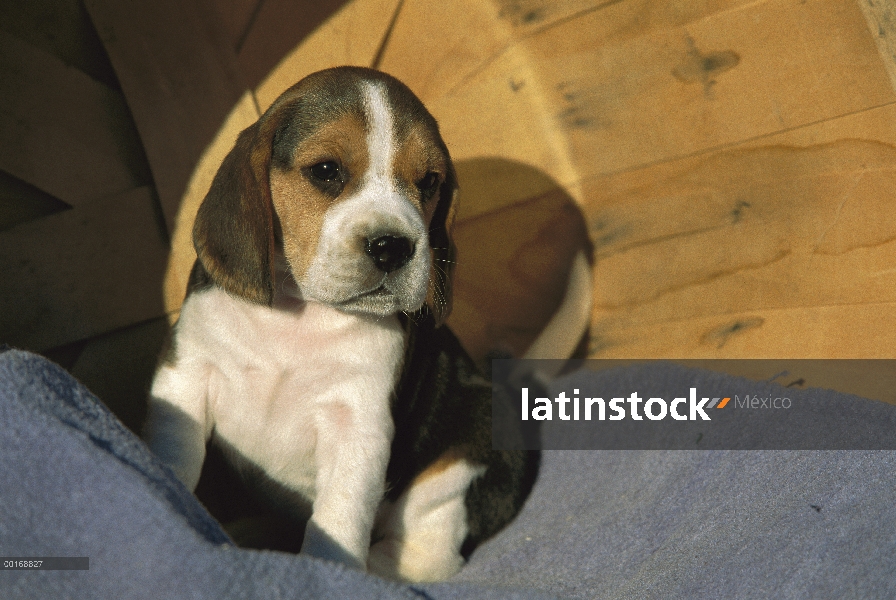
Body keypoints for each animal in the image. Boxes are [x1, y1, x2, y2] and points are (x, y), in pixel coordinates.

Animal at [146, 65, 540, 580]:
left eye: (429, 181)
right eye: (326, 171)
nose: (393, 247)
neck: (302, 316)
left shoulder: (357, 426)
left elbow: (338, 518)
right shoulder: (186, 376)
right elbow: (175, 453)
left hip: (477, 429)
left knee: (430, 550)